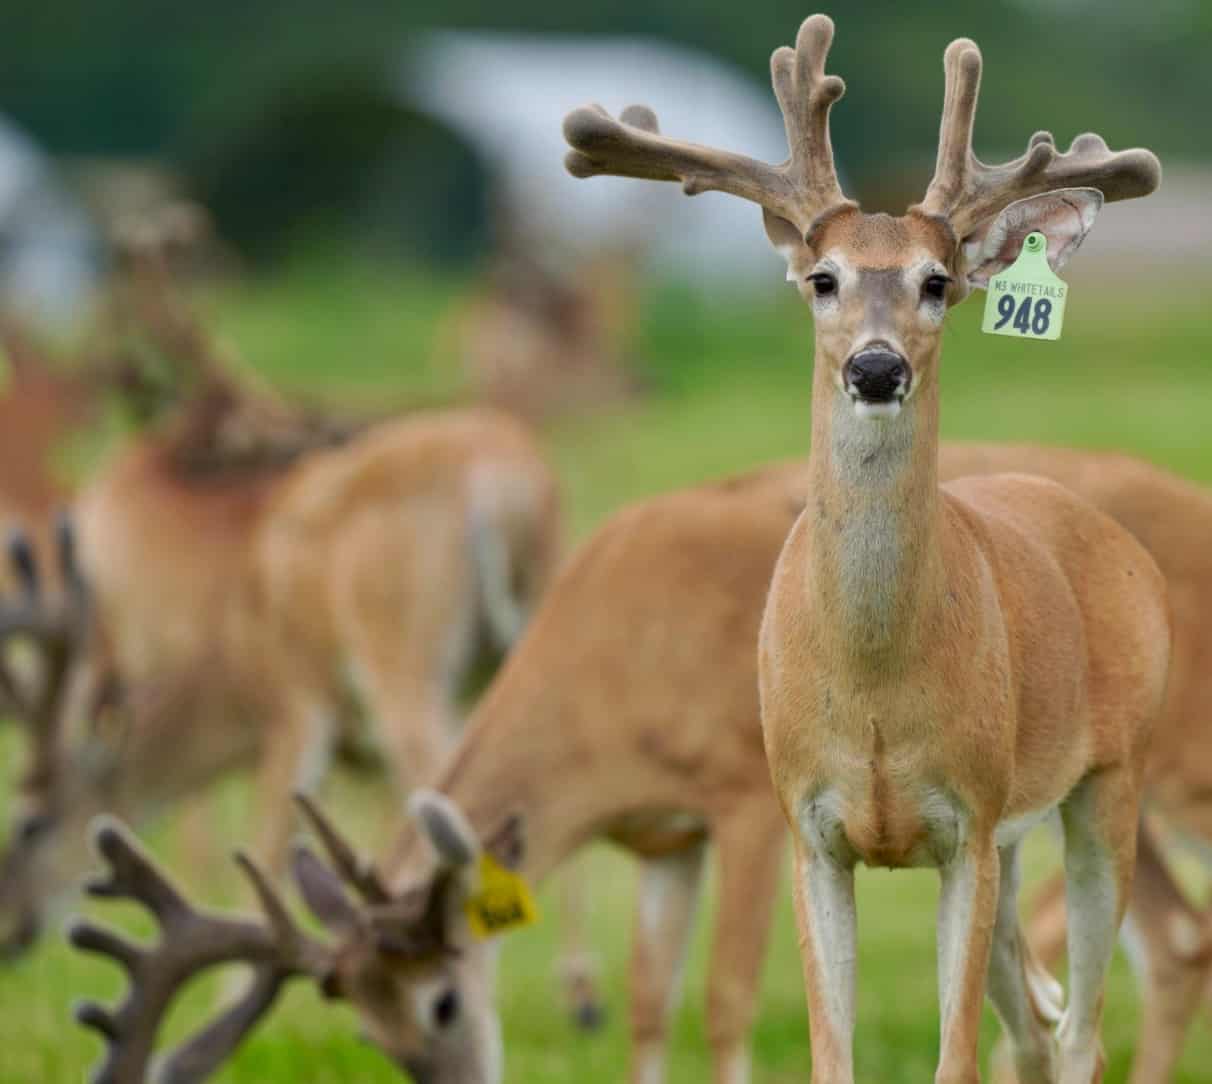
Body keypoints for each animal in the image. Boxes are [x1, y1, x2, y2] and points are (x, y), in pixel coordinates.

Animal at [66, 439, 1212, 1084]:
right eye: (366, 1031)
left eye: (444, 1001)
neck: (612, 675)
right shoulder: (665, 837)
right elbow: (652, 1002)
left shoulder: (747, 798)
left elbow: (726, 1000)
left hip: (1147, 778)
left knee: (1164, 942)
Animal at [563, 14, 1170, 1084]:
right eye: (823, 279)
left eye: (938, 282)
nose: (876, 367)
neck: (878, 685)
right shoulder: (810, 823)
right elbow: (831, 1054)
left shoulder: (969, 818)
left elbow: (954, 1058)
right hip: (1021, 840)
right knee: (1039, 1023)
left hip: (1111, 775)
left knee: (1081, 1029)